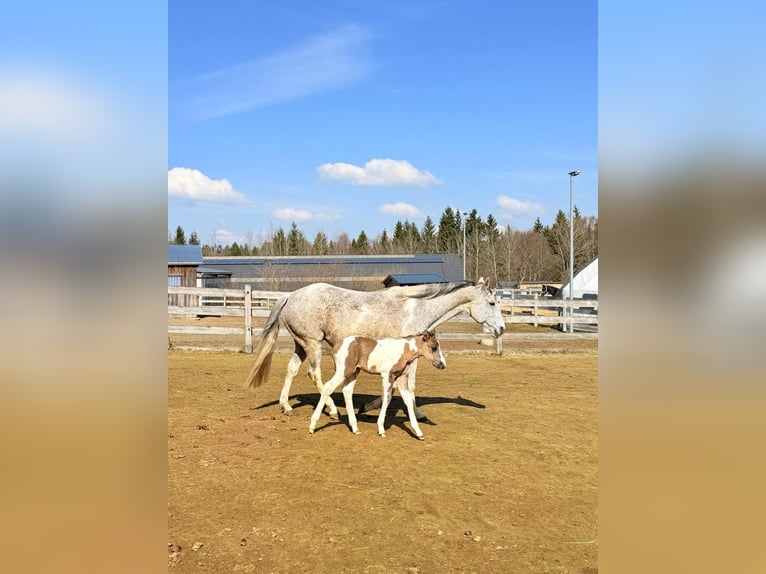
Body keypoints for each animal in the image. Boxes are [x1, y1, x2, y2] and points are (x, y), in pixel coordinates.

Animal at [246, 278, 504, 420]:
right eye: (492, 303)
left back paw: (286, 406)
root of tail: (290, 296)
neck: (417, 309)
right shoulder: (410, 355)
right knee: (314, 374)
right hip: (313, 343)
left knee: (291, 370)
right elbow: (406, 386)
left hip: (300, 344)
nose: (501, 328)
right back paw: (332, 410)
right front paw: (413, 413)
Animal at [308, 331, 446, 439]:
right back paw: (312, 426)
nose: (442, 365)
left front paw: (419, 433)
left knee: (347, 391)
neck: (403, 350)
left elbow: (408, 401)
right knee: (328, 387)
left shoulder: (401, 378)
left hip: (354, 372)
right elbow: (387, 399)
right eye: (434, 347)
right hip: (343, 371)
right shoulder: (387, 375)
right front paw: (381, 429)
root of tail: (336, 345)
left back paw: (355, 428)